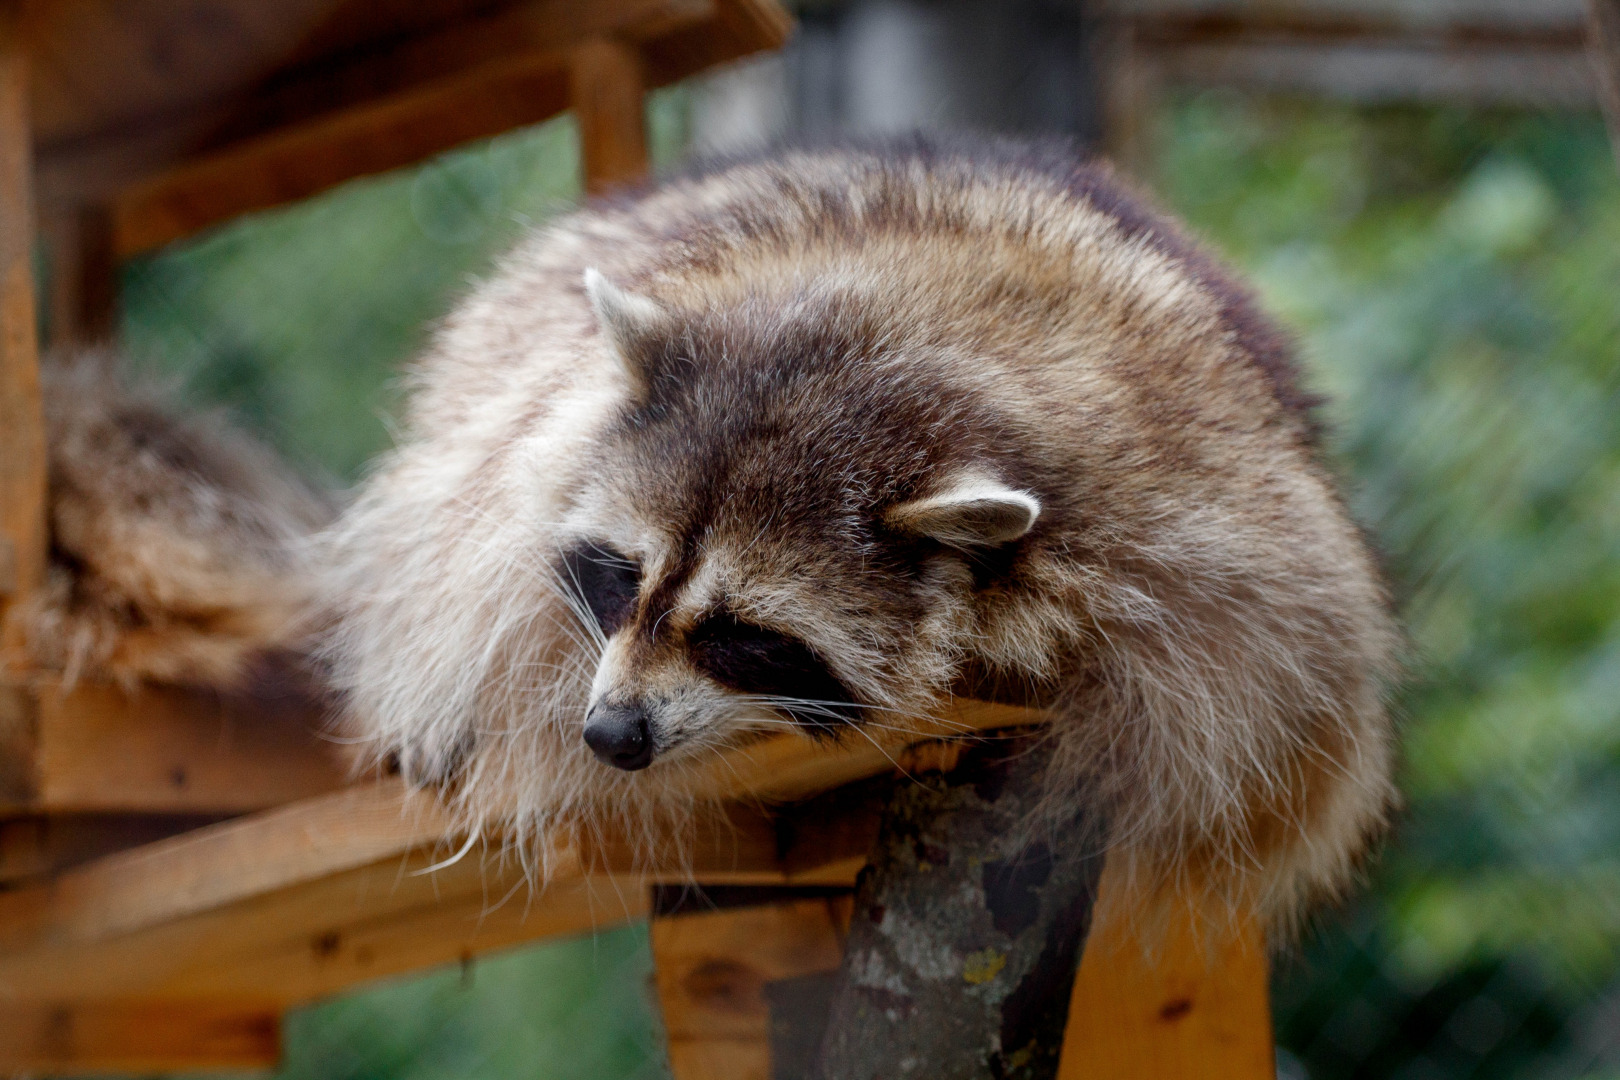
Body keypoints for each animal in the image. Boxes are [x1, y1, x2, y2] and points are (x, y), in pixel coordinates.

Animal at [322, 139, 1399, 926]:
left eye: (742, 634)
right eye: (623, 576)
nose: (612, 733)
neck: (905, 325)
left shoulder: (1224, 537)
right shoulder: (512, 438)